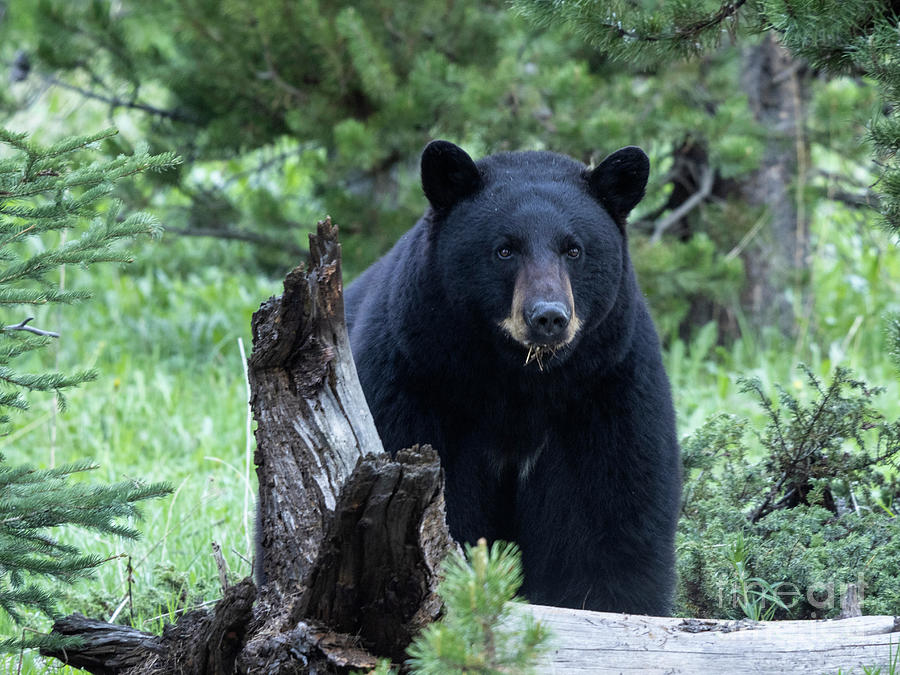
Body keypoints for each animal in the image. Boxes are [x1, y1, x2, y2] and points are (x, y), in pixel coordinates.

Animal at [346, 140, 684, 616]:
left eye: (574, 249)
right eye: (505, 249)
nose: (548, 316)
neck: (520, 384)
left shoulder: (607, 389)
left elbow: (610, 516)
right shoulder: (414, 379)